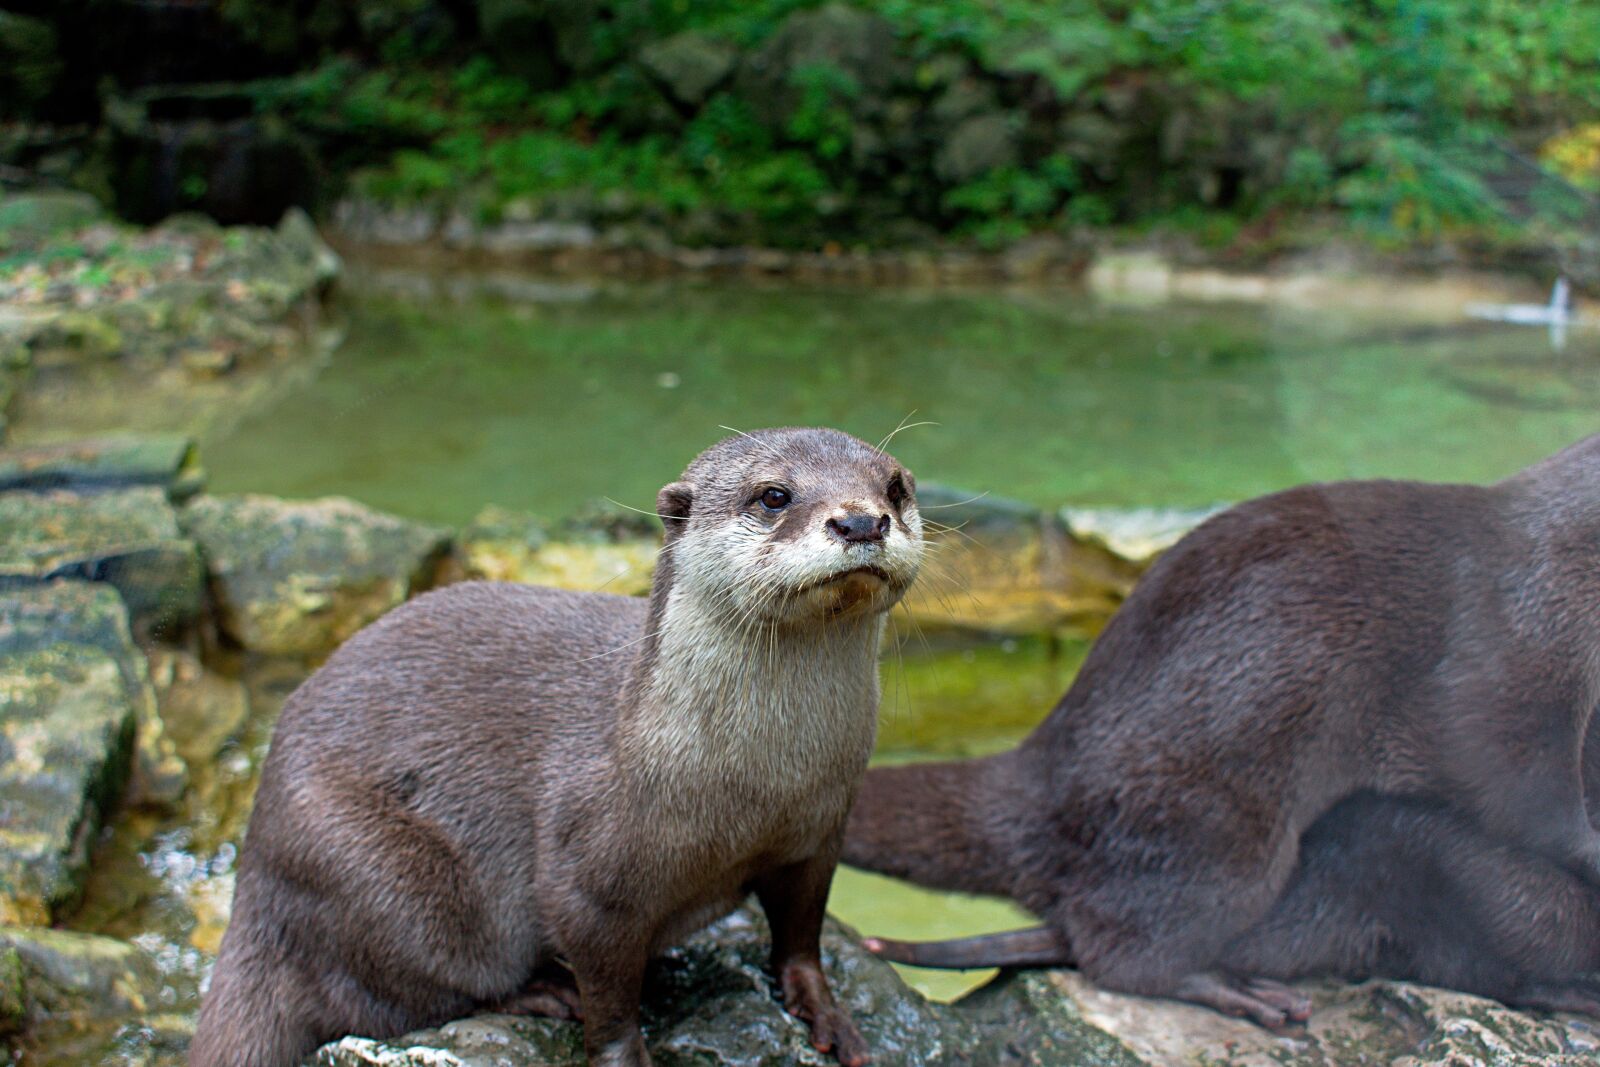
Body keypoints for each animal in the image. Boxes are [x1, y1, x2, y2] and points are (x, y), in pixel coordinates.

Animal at [190, 427, 924, 1067]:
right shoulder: (587, 877)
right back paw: (540, 990)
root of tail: (253, 871)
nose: (861, 522)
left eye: (895, 486)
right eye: (773, 494)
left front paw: (827, 1013)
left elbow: (801, 934)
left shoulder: (819, 830)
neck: (756, 788)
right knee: (399, 990)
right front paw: (621, 1052)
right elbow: (608, 994)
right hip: (368, 871)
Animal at [843, 433, 1600, 1027]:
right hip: (1221, 827)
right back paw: (1232, 989)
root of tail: (1045, 770)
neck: (1565, 561)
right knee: (1116, 949)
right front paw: (1593, 847)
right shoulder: (1511, 650)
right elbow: (1515, 779)